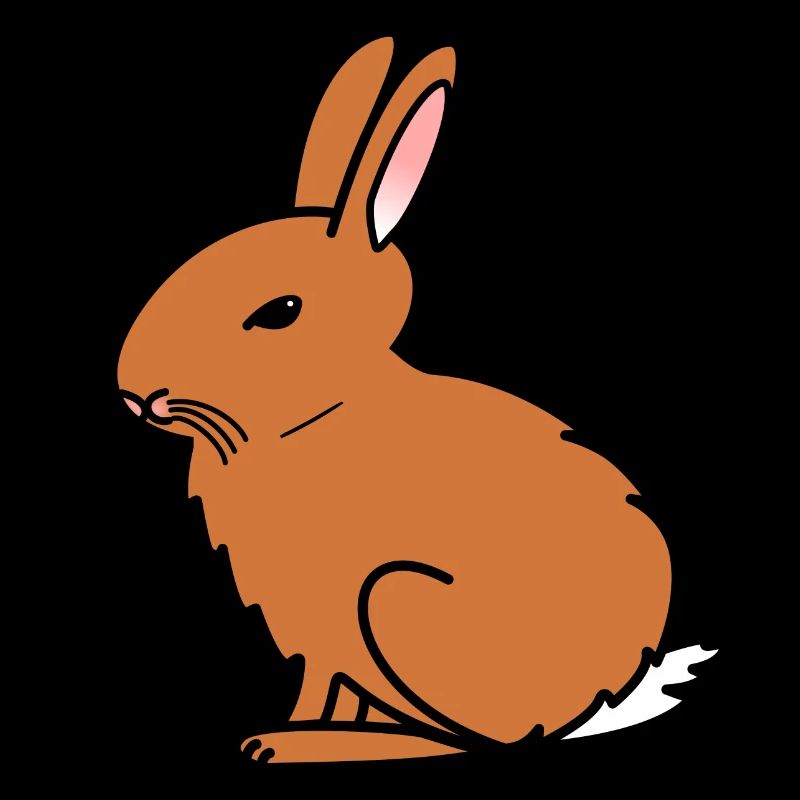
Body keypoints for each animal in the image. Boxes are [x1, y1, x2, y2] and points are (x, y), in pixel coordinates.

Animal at [117, 38, 671, 763]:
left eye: (280, 312)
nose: (136, 395)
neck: (316, 414)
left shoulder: (328, 611)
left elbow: (323, 684)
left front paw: (282, 740)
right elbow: (327, 687)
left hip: (394, 602)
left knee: (465, 741)